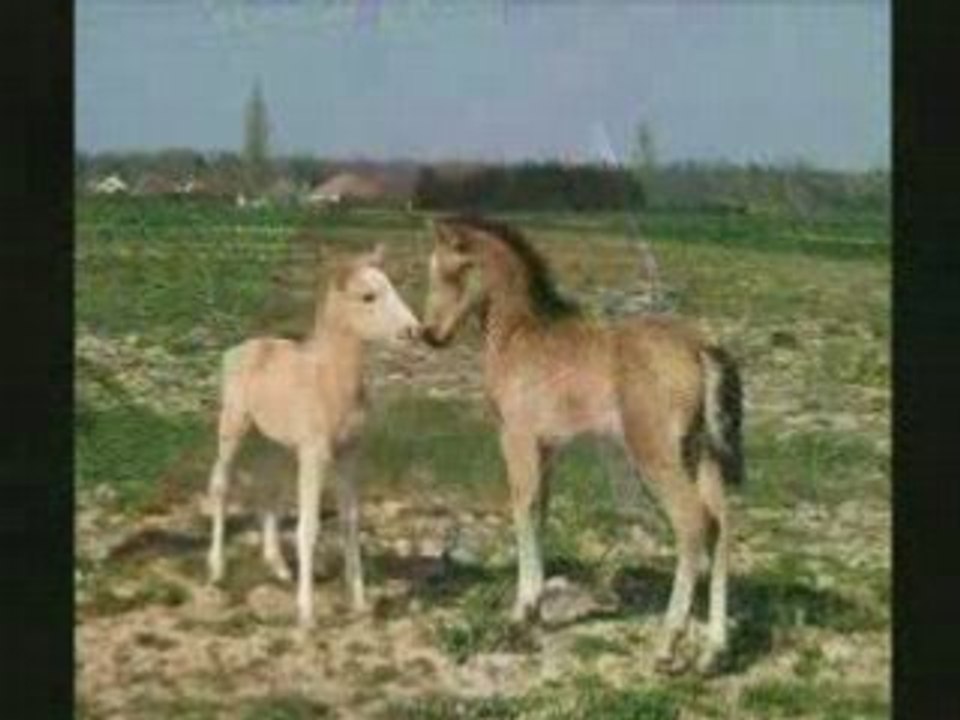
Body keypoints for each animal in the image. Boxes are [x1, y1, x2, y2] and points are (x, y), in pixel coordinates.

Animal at [206, 244, 421, 627]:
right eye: (368, 296)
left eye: (392, 285)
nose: (413, 330)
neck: (330, 382)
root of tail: (240, 349)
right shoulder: (314, 455)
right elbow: (309, 528)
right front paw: (306, 615)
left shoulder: (350, 454)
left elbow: (350, 522)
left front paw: (360, 603)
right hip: (233, 424)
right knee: (221, 483)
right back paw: (216, 570)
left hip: (274, 442)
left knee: (268, 491)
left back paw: (277, 567)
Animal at [420, 215, 743, 673]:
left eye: (455, 270)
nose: (430, 334)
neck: (520, 335)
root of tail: (700, 347)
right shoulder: (547, 447)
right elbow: (540, 510)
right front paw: (535, 605)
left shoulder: (516, 438)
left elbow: (522, 507)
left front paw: (521, 612)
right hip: (700, 454)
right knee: (720, 524)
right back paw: (713, 651)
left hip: (655, 453)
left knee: (693, 523)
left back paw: (667, 645)